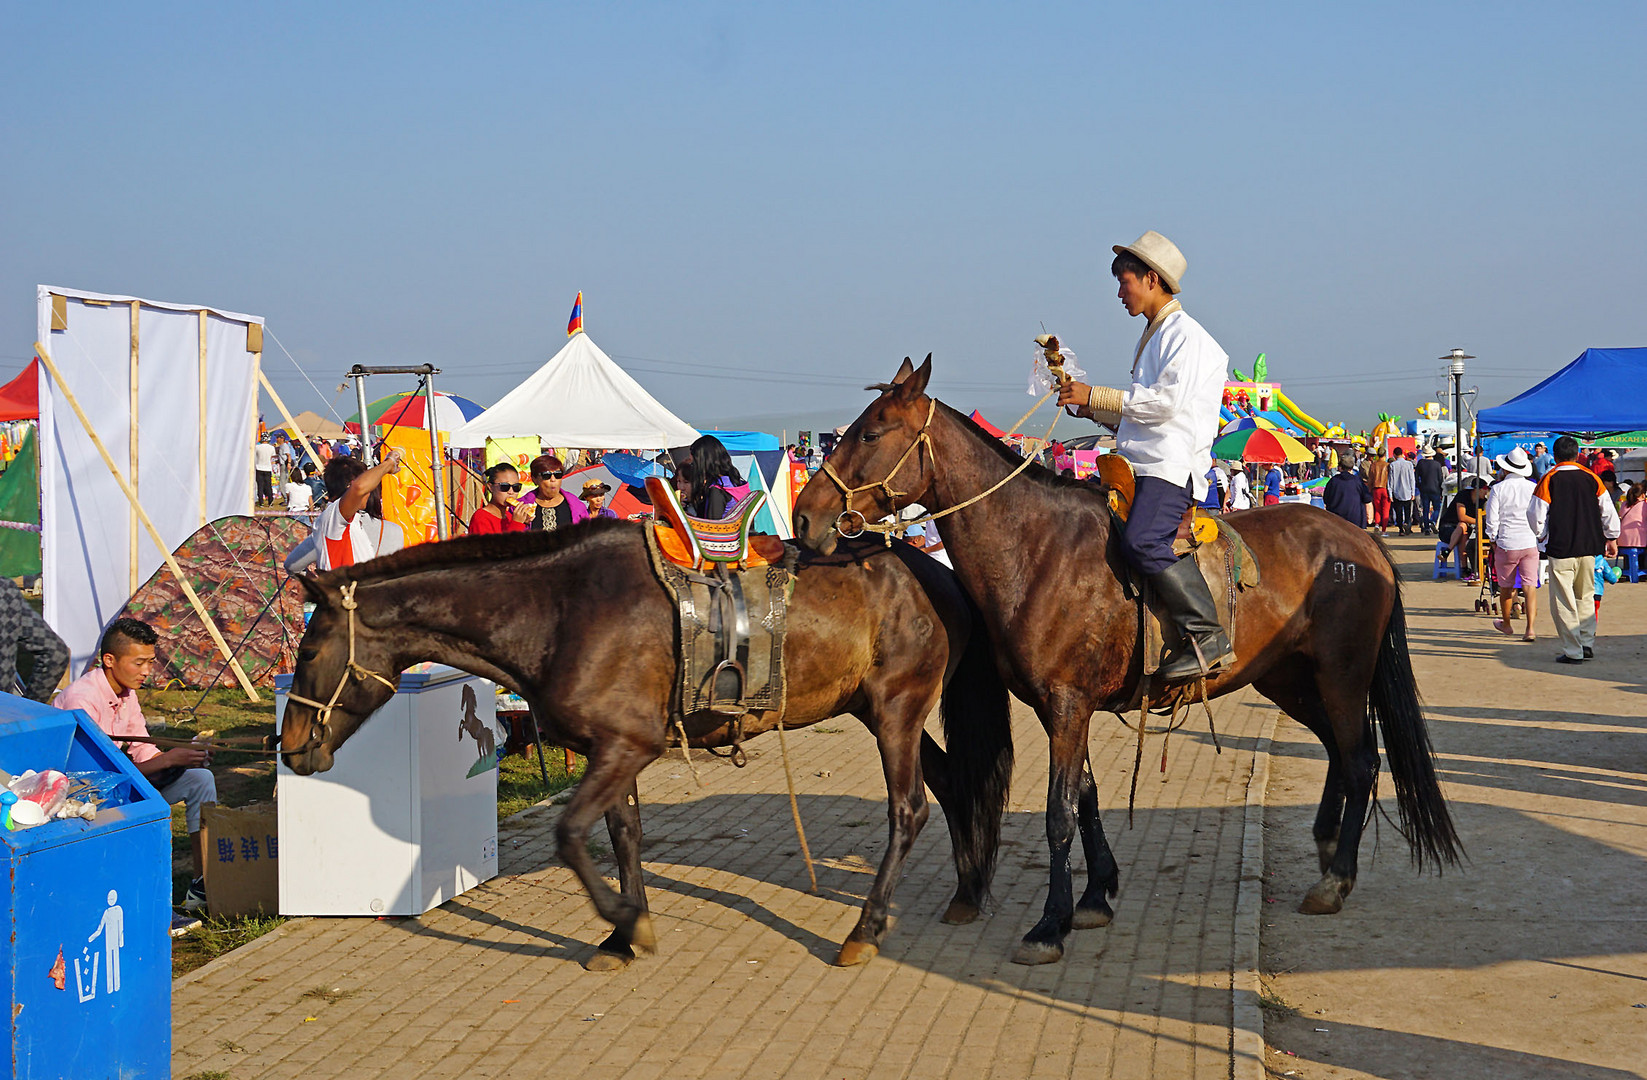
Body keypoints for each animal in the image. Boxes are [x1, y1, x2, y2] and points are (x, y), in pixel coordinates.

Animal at [276, 520, 1007, 968]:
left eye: (309, 649)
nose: (291, 748)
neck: (560, 611)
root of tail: (933, 571)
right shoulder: (614, 748)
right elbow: (621, 833)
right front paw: (623, 932)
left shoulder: (625, 748)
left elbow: (570, 834)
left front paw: (625, 921)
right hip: (882, 713)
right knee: (952, 786)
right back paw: (966, 892)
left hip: (895, 712)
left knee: (908, 810)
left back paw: (865, 929)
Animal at [790, 358, 1462, 968]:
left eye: (871, 434)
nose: (804, 516)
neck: (1037, 548)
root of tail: (1360, 540)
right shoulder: (1061, 708)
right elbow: (1085, 797)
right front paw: (1094, 896)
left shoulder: (1067, 705)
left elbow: (1059, 813)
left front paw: (1049, 925)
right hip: (1289, 680)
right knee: (1336, 752)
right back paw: (1324, 848)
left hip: (1342, 676)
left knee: (1359, 759)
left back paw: (1336, 879)